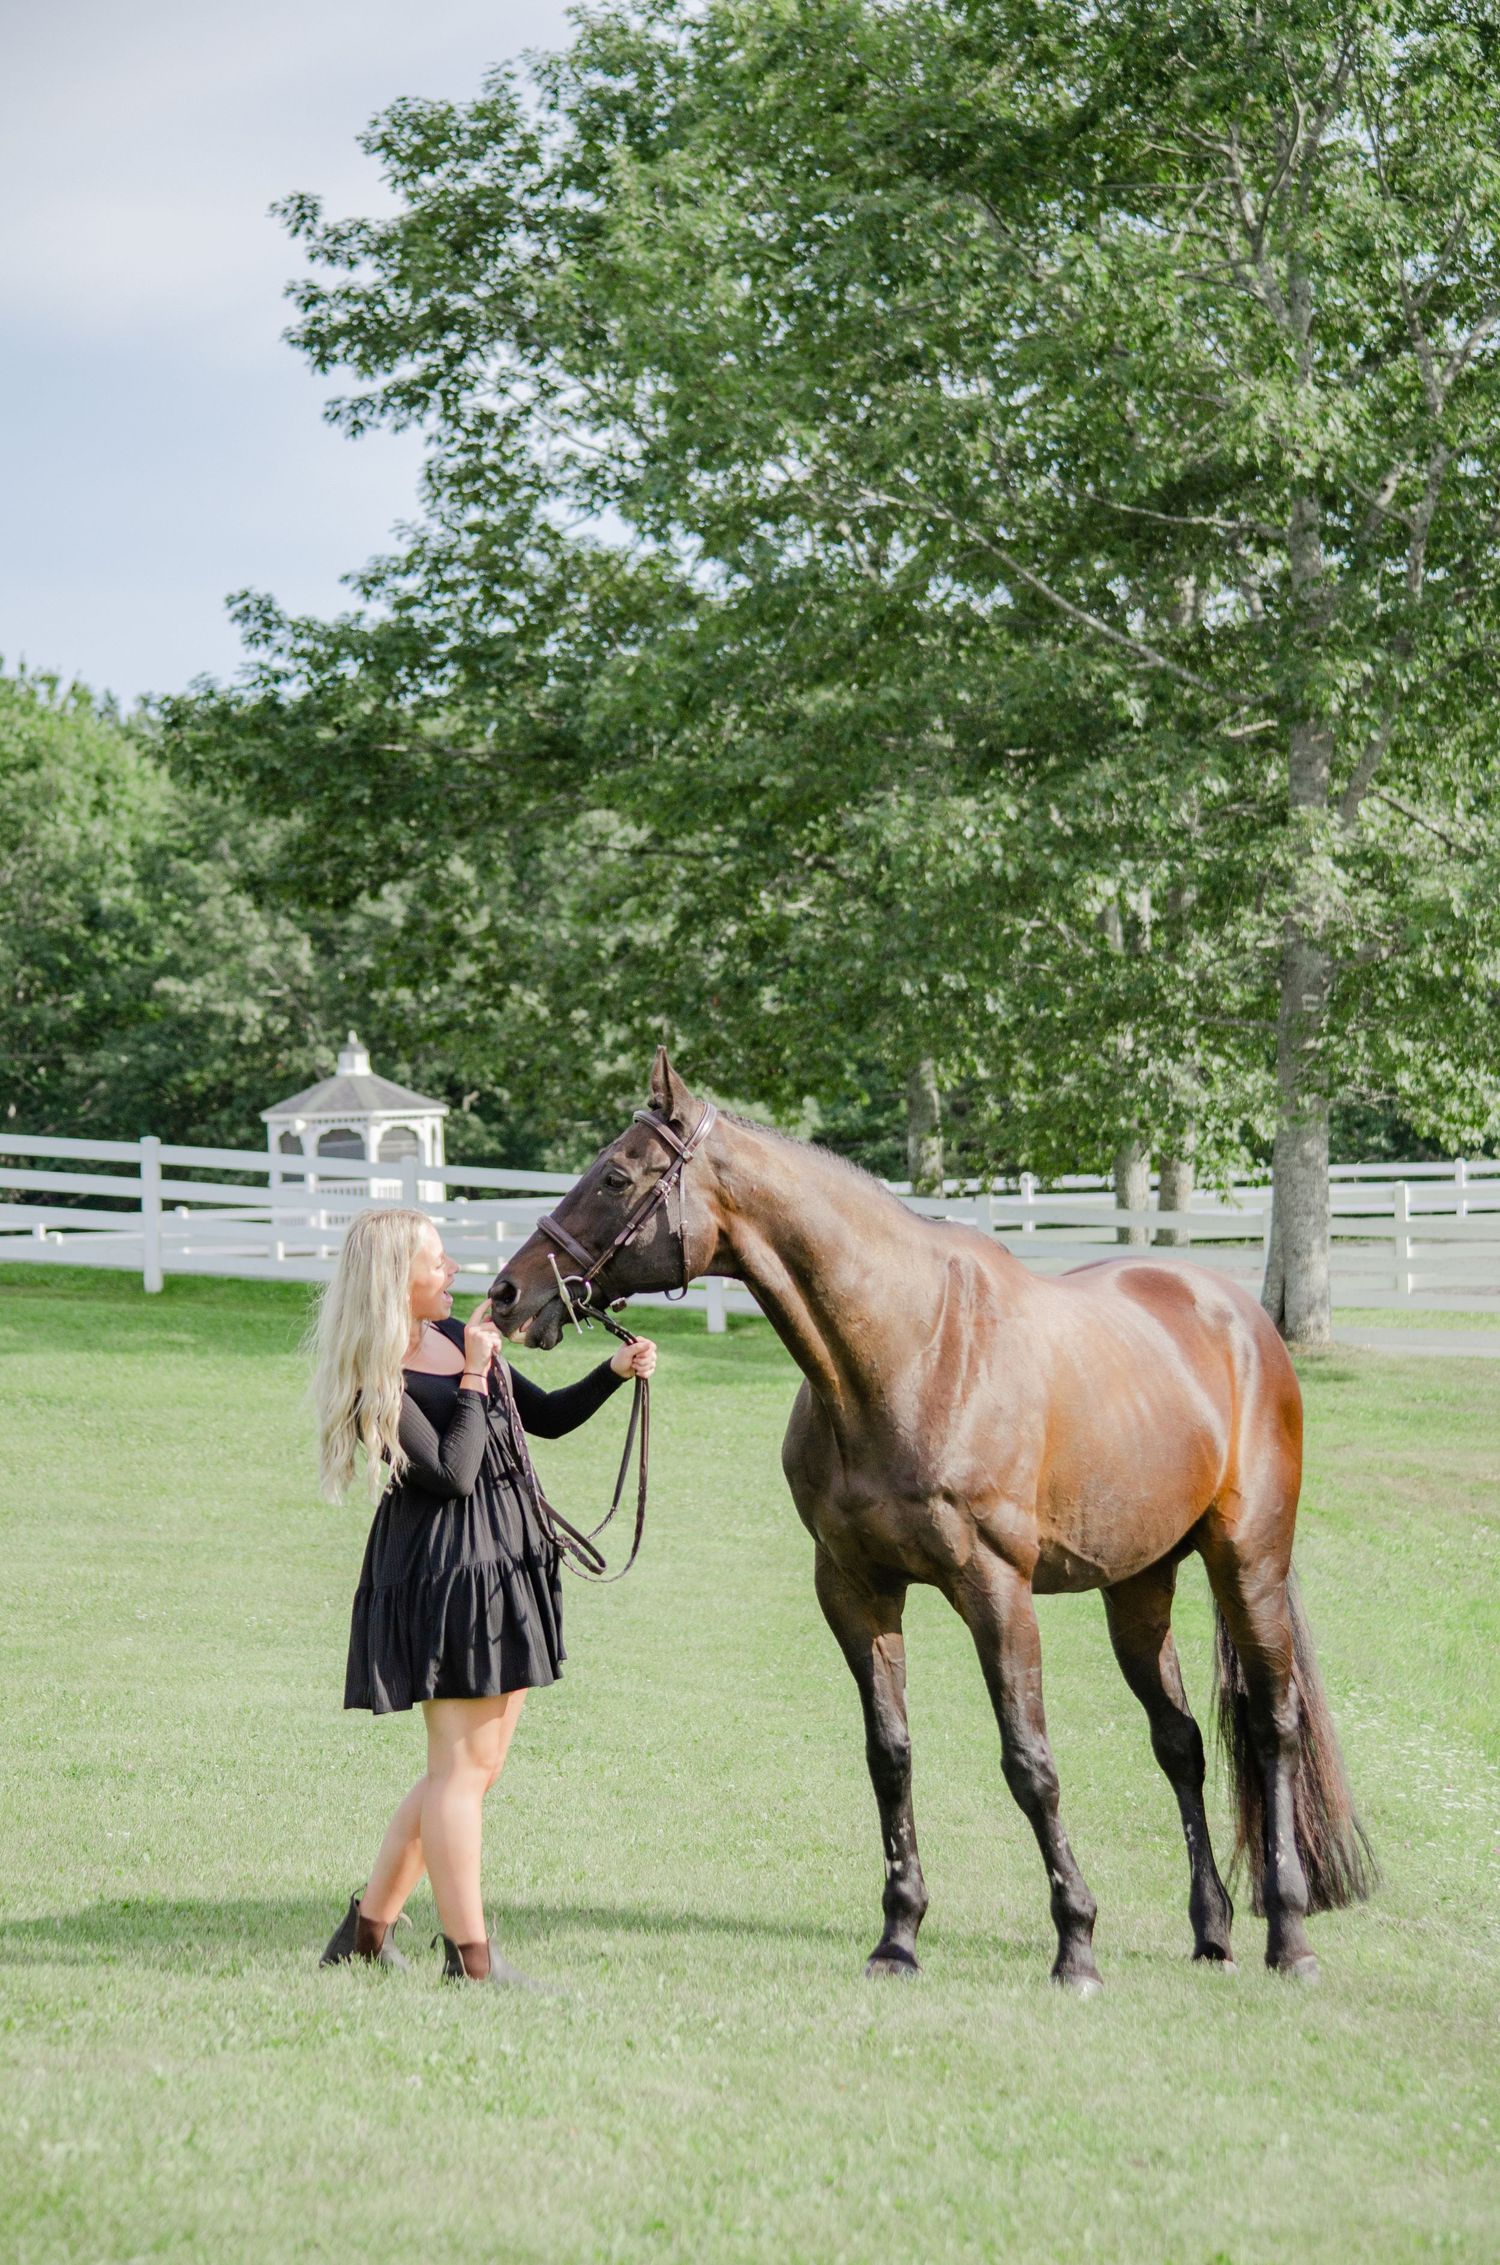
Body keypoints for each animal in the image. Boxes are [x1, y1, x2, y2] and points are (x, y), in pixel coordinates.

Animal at [492, 1051, 1374, 1989]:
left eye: (616, 1176)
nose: (509, 1292)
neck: (908, 1352)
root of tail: (1239, 1317)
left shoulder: (996, 1590)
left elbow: (1030, 1763)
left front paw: (1076, 1943)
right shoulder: (854, 1588)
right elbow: (891, 1755)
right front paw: (899, 1934)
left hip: (1248, 1562)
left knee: (1273, 1728)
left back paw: (1289, 1934)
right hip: (1139, 1584)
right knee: (1180, 1741)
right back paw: (1212, 1930)